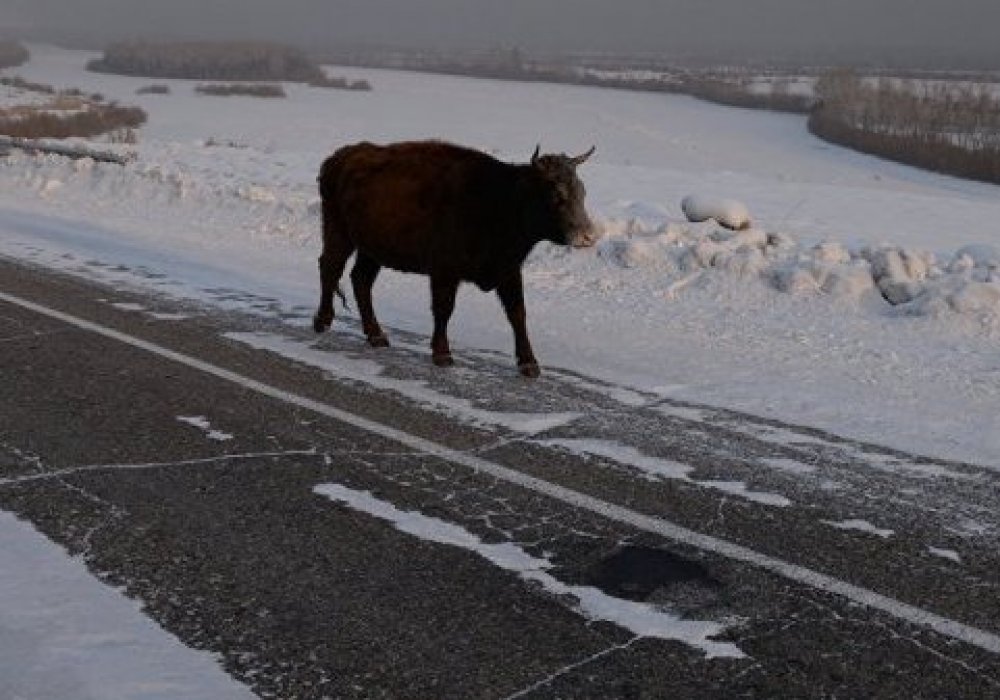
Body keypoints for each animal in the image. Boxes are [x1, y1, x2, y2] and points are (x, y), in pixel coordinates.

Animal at [312, 141, 592, 378]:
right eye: (556, 195)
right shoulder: (445, 272)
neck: (500, 200)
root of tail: (338, 158)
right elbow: (444, 309)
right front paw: (442, 354)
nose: (588, 235)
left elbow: (517, 314)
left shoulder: (509, 271)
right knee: (330, 267)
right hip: (338, 233)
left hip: (371, 250)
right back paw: (322, 321)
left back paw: (377, 336)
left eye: (582, 191)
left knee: (360, 280)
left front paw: (529, 364)